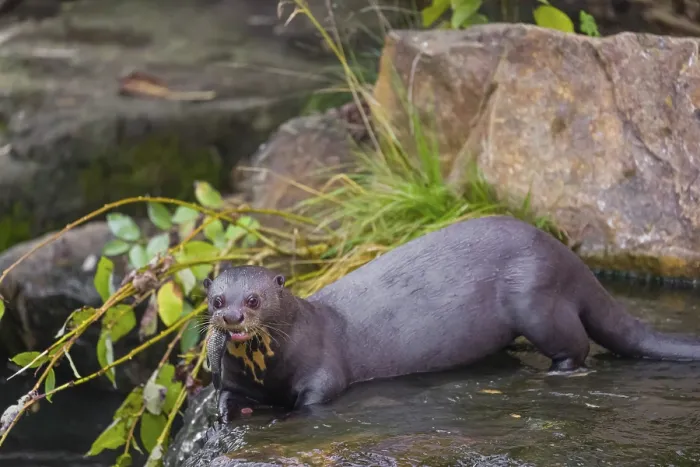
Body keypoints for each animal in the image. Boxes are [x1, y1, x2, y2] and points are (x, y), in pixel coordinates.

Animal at [204, 215, 700, 422]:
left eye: (253, 299)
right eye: (215, 299)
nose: (231, 317)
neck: (270, 369)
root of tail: (569, 257)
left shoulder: (323, 367)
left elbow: (316, 399)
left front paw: (285, 419)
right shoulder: (236, 378)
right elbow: (226, 397)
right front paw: (226, 415)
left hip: (536, 299)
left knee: (575, 345)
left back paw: (558, 373)